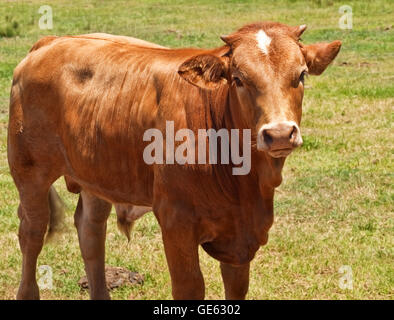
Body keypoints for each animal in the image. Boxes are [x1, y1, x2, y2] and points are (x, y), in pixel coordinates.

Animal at [8, 22, 342, 300]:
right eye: (238, 79)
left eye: (301, 75)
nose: (280, 133)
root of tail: (52, 41)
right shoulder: (175, 220)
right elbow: (190, 286)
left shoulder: (241, 238)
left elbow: (236, 287)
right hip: (29, 171)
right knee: (32, 232)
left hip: (97, 175)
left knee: (91, 233)